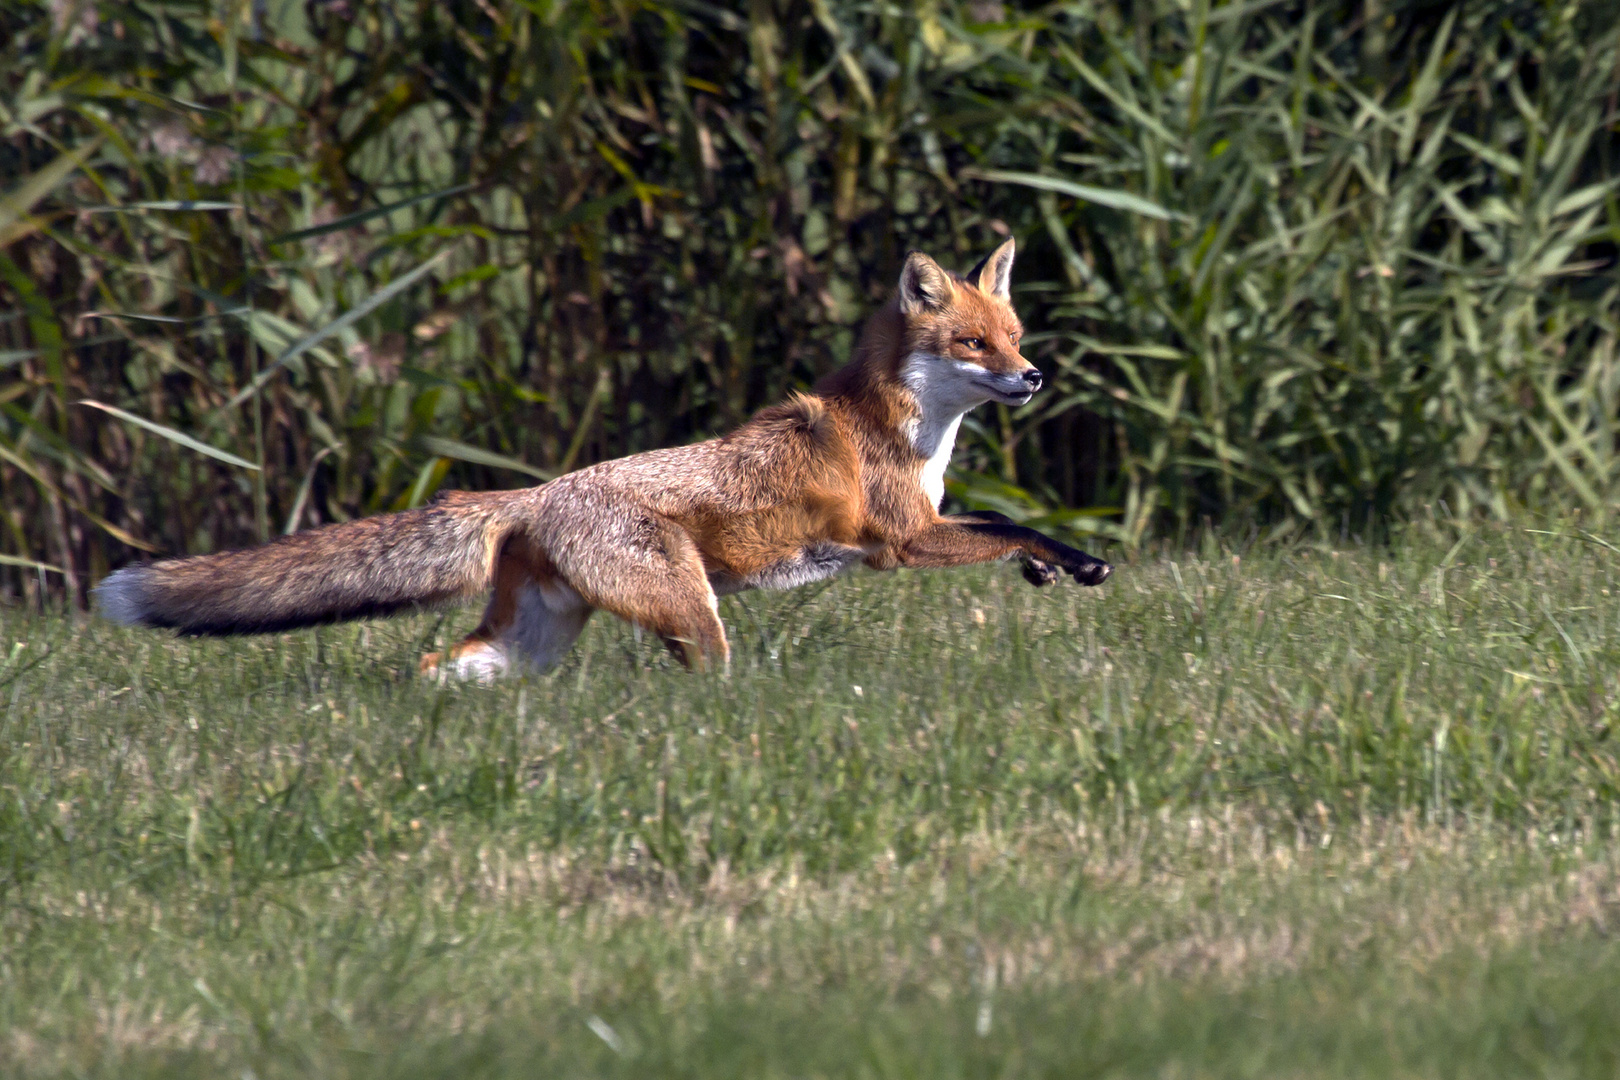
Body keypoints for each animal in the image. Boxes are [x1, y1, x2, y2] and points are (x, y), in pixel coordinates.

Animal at [98, 242, 1114, 676]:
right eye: (973, 345)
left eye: (1015, 337)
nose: (1032, 377)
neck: (908, 432)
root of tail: (537, 495)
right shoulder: (903, 541)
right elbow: (1006, 520)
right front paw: (1074, 562)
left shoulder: (924, 526)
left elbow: (1005, 523)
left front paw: (1047, 569)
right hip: (693, 616)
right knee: (705, 678)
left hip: (528, 643)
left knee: (434, 665)